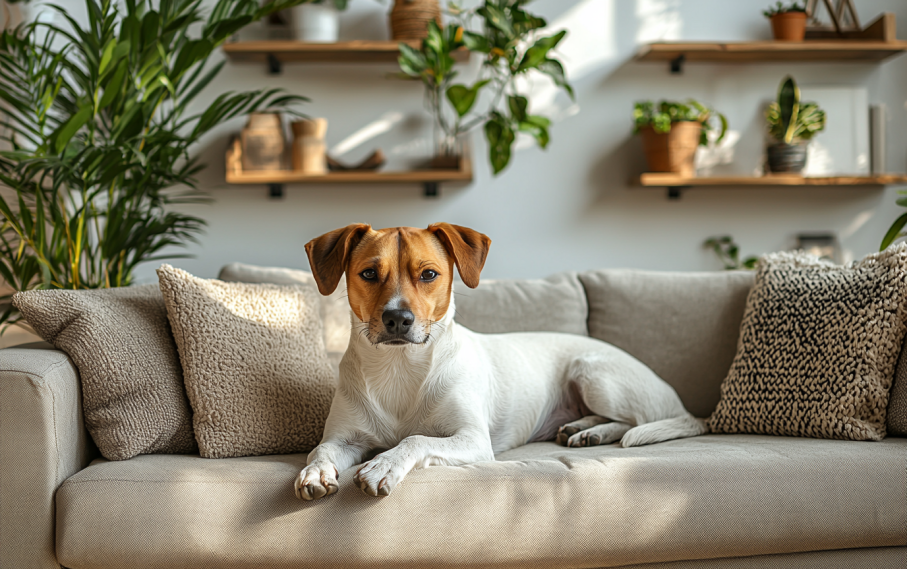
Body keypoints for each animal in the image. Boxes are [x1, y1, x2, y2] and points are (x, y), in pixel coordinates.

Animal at [294, 224, 704, 500]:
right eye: (368, 273)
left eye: (428, 274)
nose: (397, 319)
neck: (400, 368)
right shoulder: (345, 437)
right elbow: (322, 449)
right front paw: (314, 472)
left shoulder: (473, 439)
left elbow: (415, 439)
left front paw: (385, 464)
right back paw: (583, 428)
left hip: (592, 373)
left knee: (635, 420)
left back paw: (596, 431)